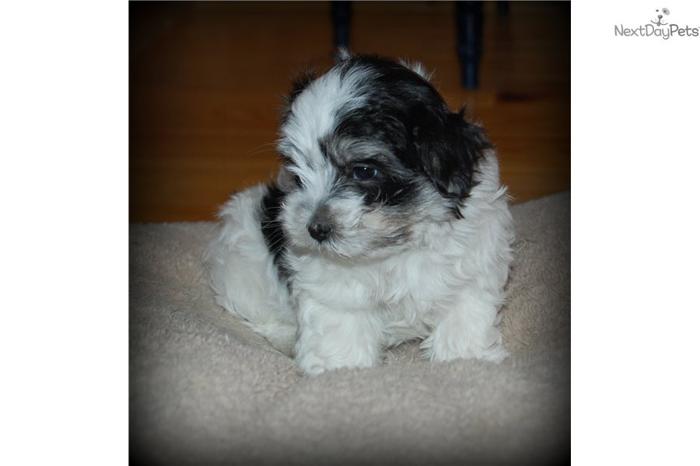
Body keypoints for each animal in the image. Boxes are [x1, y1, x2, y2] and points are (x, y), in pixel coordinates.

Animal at [205, 54, 512, 374]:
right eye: (298, 173)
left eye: (363, 171)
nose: (315, 229)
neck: (397, 247)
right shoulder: (333, 291)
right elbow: (341, 331)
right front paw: (343, 372)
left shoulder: (470, 272)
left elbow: (464, 318)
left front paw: (465, 361)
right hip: (242, 269)